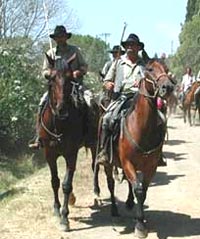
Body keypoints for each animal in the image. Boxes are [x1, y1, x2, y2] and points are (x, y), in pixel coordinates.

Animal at [38, 54, 98, 232]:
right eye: (51, 78)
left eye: (70, 78)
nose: (61, 109)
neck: (59, 124)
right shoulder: (50, 154)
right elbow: (55, 181)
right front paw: (57, 209)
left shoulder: (71, 154)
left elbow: (66, 184)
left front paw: (65, 218)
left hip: (94, 145)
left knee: (95, 166)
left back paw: (96, 192)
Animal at [94, 58, 174, 238]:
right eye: (150, 69)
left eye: (166, 69)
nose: (168, 87)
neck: (141, 128)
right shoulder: (127, 163)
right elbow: (137, 189)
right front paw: (139, 225)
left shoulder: (150, 166)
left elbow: (142, 190)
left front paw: (140, 218)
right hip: (109, 163)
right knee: (111, 183)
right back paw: (115, 212)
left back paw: (130, 202)